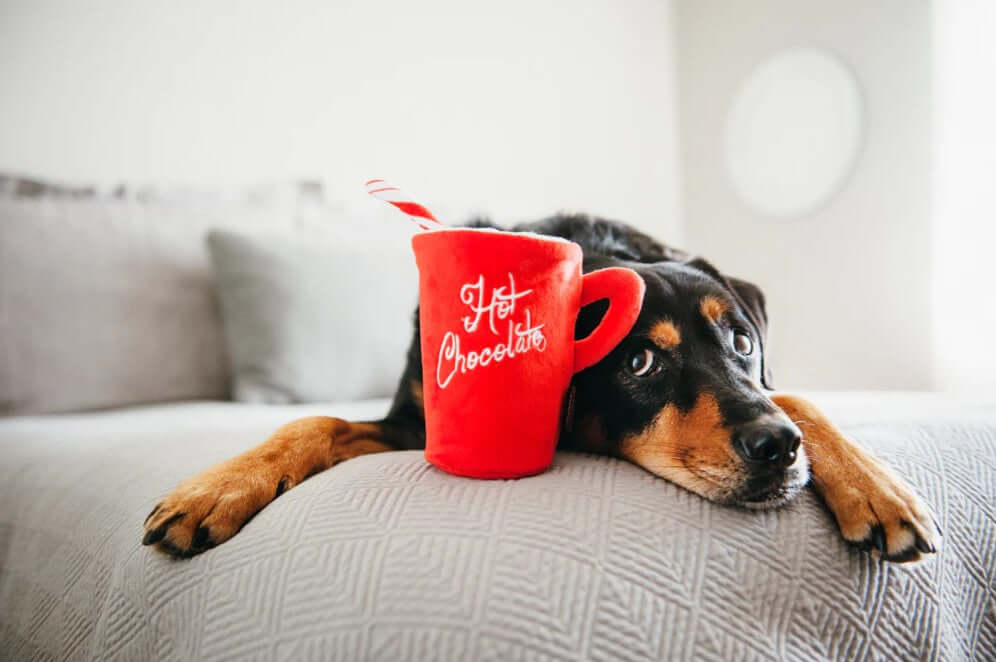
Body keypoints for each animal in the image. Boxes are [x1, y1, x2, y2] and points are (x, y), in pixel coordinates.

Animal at [142, 215, 940, 564]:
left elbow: (794, 396)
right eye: (638, 364)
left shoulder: (767, 384)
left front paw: (874, 486)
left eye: (743, 342)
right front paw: (217, 488)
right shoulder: (411, 426)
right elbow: (312, 423)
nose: (776, 449)